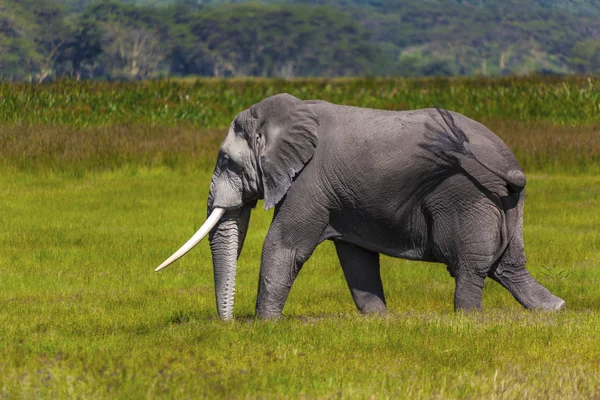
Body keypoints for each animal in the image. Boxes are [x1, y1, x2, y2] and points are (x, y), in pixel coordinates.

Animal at [154, 93, 564, 318]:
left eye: (226, 161)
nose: (227, 324)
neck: (286, 112)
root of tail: (511, 163)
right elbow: (356, 257)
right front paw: (379, 321)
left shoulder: (309, 180)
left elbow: (286, 246)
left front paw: (265, 325)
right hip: (505, 204)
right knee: (509, 265)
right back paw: (554, 310)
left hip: (464, 195)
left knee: (469, 266)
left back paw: (467, 320)